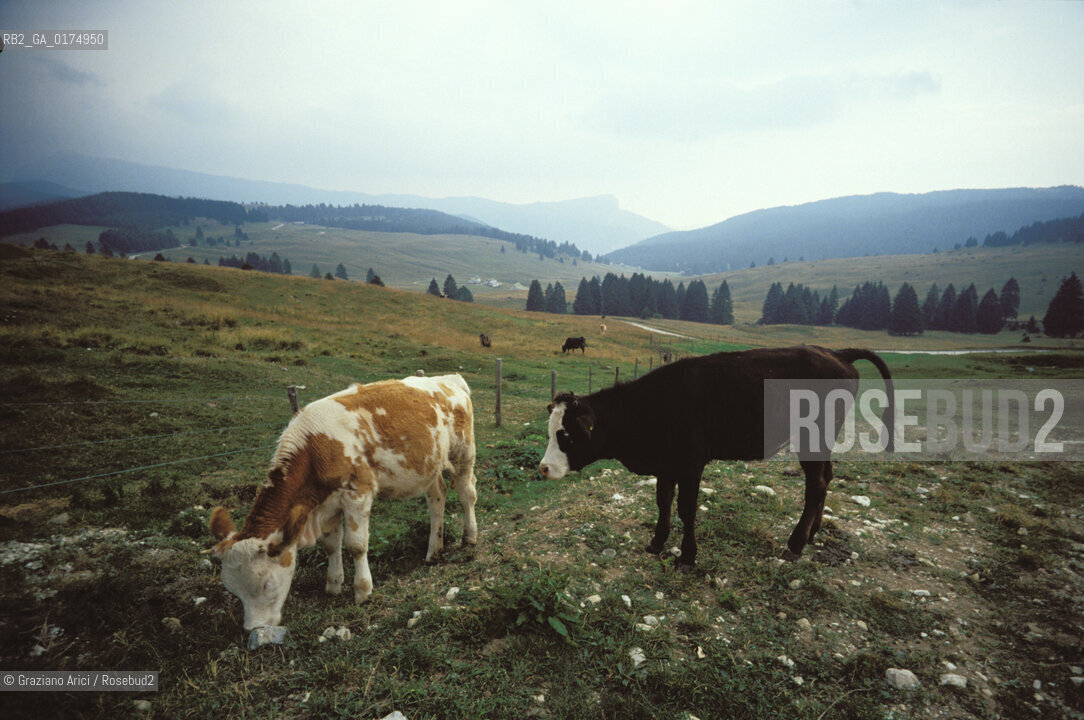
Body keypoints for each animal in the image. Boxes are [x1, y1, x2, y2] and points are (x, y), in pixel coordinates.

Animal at [207, 373, 479, 630]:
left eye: (267, 583)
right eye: (232, 589)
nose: (254, 628)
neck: (316, 449)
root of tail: (448, 379)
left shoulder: (357, 494)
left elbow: (356, 545)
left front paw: (363, 590)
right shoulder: (327, 505)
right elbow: (331, 545)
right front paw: (333, 584)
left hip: (464, 453)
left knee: (467, 494)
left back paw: (470, 537)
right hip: (429, 465)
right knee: (437, 498)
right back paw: (434, 550)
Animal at [539, 346, 893, 571]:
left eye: (566, 435)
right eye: (550, 431)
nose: (543, 468)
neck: (651, 405)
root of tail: (836, 353)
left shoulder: (691, 463)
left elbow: (686, 508)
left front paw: (687, 557)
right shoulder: (666, 464)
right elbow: (663, 501)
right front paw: (657, 542)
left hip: (812, 438)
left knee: (816, 484)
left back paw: (795, 544)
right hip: (822, 441)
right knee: (826, 477)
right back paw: (813, 533)